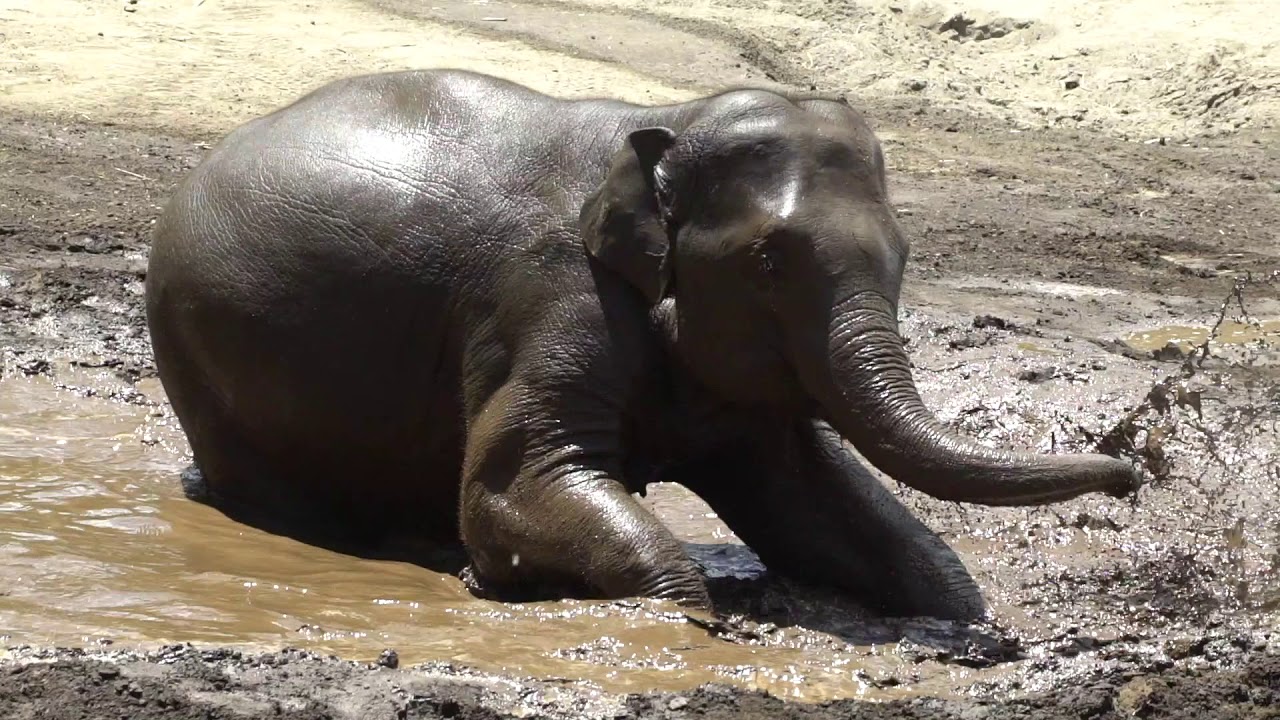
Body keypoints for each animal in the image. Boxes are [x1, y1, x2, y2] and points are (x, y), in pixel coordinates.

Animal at [145, 68, 1140, 620]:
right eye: (770, 260)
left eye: (904, 254)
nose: (1133, 470)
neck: (668, 116)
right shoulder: (549, 294)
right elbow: (513, 486)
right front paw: (686, 620)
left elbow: (816, 502)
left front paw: (953, 618)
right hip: (202, 364)